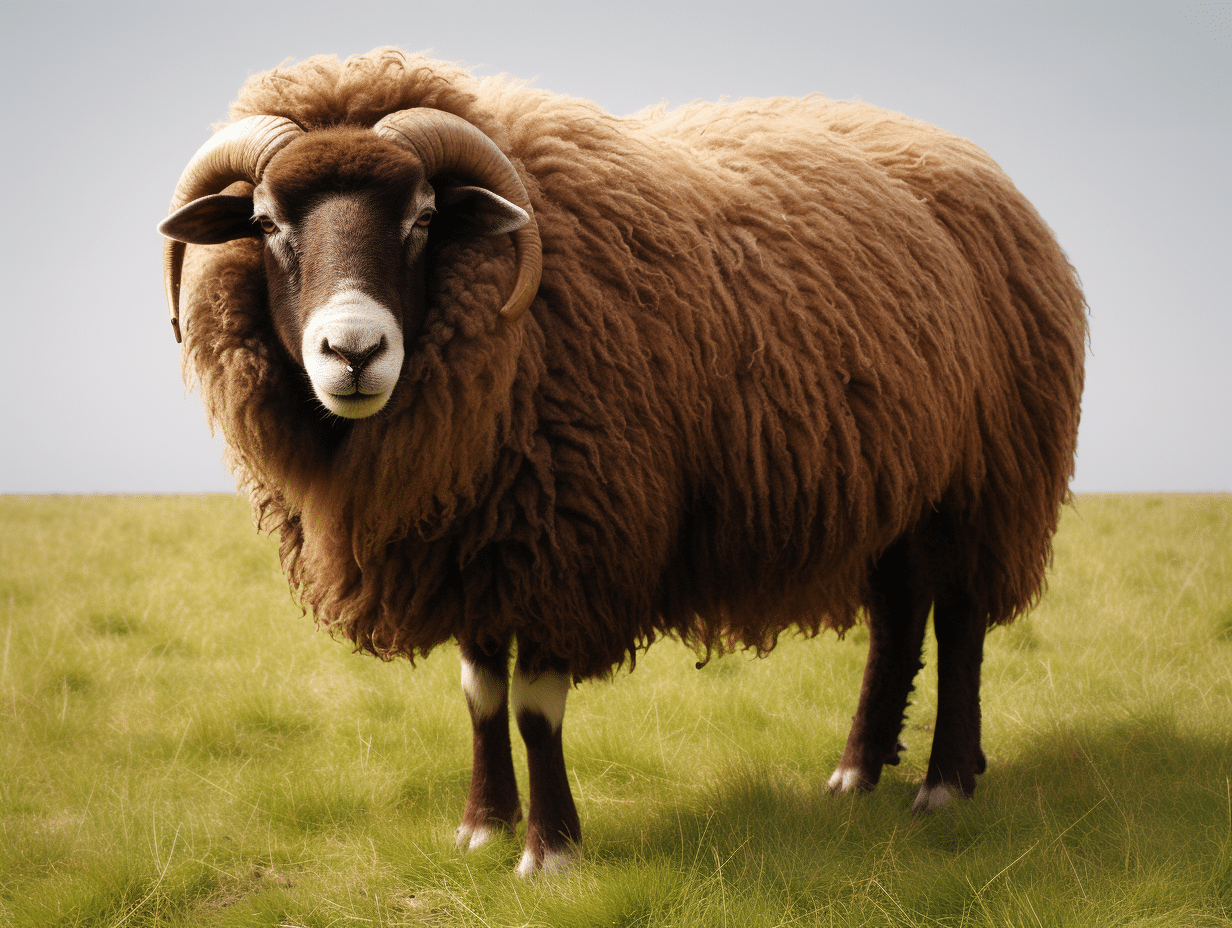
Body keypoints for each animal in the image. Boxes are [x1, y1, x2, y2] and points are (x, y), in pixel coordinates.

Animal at [158, 48, 1087, 874]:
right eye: (266, 223)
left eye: (423, 218)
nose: (353, 353)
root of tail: (968, 156)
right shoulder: (474, 542)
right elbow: (481, 696)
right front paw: (482, 830)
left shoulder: (565, 541)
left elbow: (535, 709)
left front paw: (551, 852)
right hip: (898, 484)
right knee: (897, 615)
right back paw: (855, 774)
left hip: (984, 478)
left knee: (959, 618)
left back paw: (945, 783)